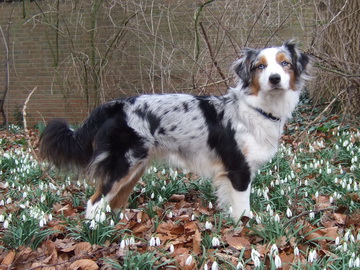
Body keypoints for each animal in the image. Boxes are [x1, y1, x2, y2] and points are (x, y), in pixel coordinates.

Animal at [39, 40, 310, 221]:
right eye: (259, 67)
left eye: (285, 64)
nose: (275, 79)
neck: (256, 108)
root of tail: (115, 105)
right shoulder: (238, 169)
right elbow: (243, 206)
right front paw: (246, 227)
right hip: (122, 166)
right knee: (94, 203)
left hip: (135, 168)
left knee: (114, 202)